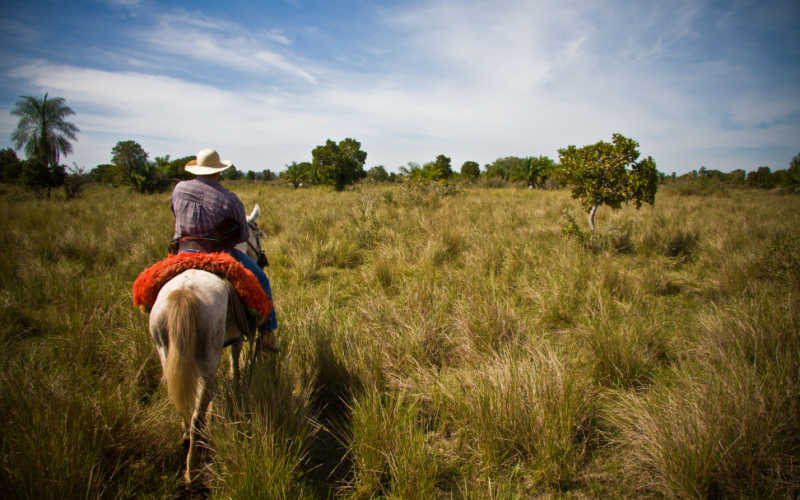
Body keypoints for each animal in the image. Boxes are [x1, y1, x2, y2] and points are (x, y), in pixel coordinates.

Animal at [150, 204, 272, 484]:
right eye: (259, 232)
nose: (262, 259)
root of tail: (182, 293)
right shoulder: (236, 337)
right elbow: (236, 364)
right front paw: (238, 386)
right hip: (206, 361)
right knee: (198, 414)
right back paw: (191, 471)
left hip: (166, 352)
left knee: (185, 409)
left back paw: (187, 443)